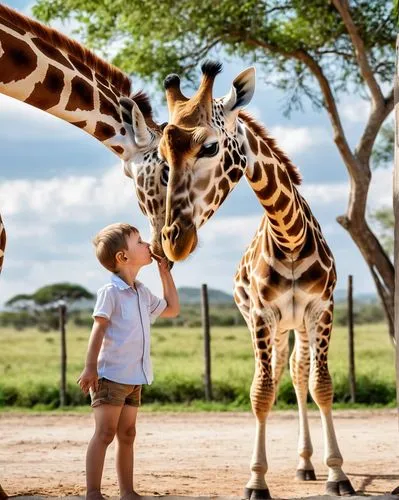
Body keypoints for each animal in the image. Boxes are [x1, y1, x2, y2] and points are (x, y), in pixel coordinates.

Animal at [159, 62, 356, 500]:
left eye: (210, 147)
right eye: (163, 156)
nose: (174, 240)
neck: (290, 235)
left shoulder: (323, 309)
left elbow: (321, 384)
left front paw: (338, 474)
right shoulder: (262, 316)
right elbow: (261, 391)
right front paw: (256, 481)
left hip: (298, 325)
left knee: (299, 375)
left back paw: (308, 464)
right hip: (274, 326)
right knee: (283, 372)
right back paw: (303, 464)